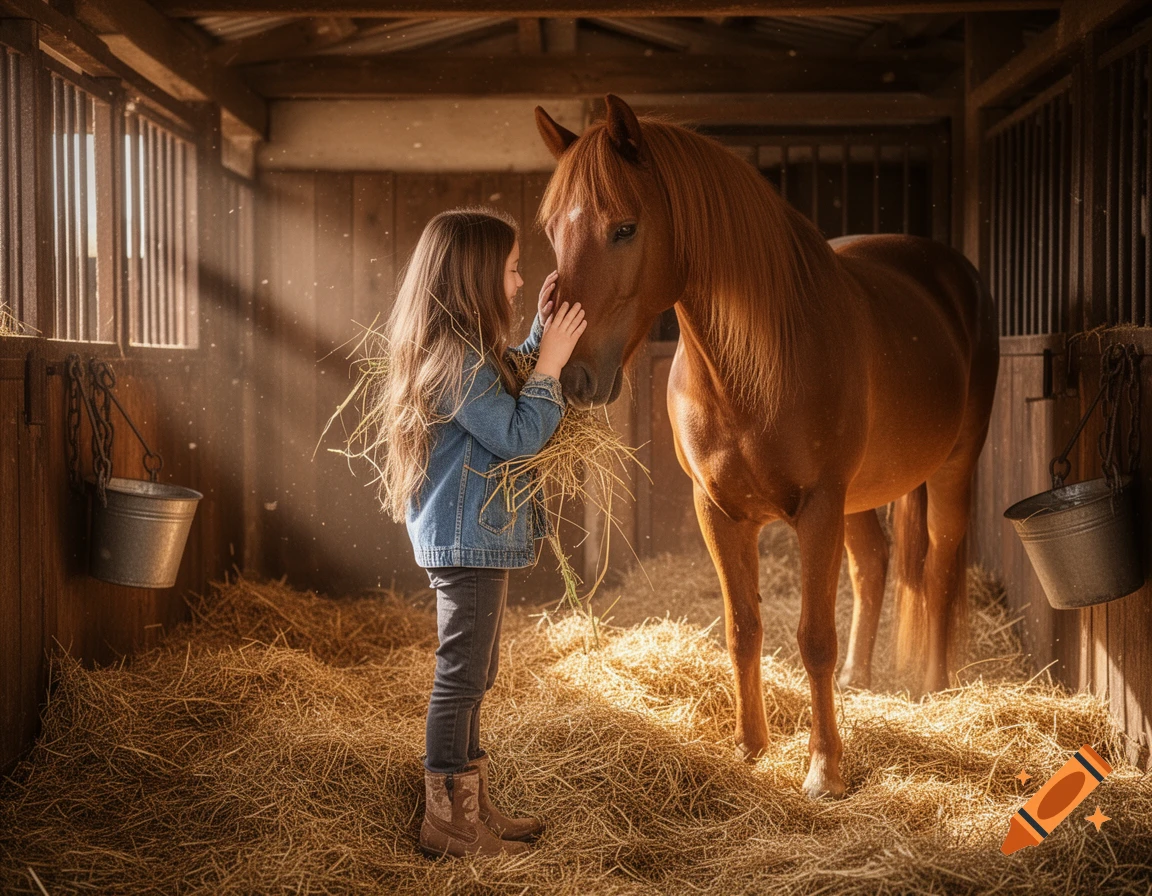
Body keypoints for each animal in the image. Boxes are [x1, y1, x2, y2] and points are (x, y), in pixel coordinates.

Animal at [533, 95, 999, 800]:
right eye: (552, 231)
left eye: (624, 228)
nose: (572, 376)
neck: (749, 371)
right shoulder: (720, 511)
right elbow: (743, 629)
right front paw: (748, 747)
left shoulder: (817, 507)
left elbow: (812, 638)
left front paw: (825, 769)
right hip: (859, 497)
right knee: (872, 564)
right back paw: (861, 681)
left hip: (951, 466)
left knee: (941, 565)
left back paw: (934, 689)